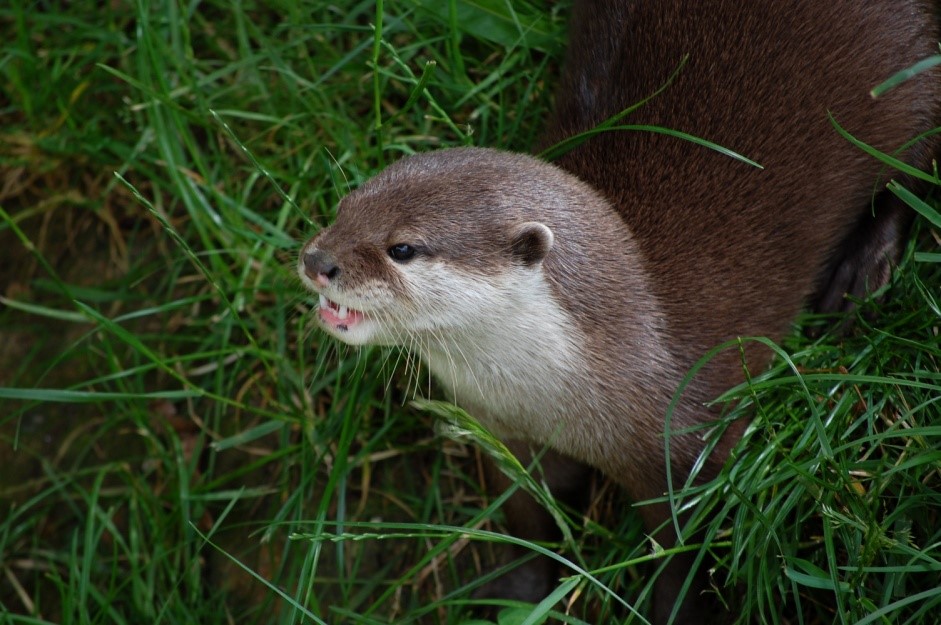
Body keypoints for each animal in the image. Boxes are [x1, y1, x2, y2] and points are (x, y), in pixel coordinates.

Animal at [298, 2, 936, 620]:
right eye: (343, 207)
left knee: (913, 169)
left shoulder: (692, 449)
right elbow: (526, 518)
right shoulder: (508, 435)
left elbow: (682, 553)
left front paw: (679, 611)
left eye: (402, 248)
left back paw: (860, 276)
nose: (315, 259)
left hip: (908, 79)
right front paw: (521, 591)